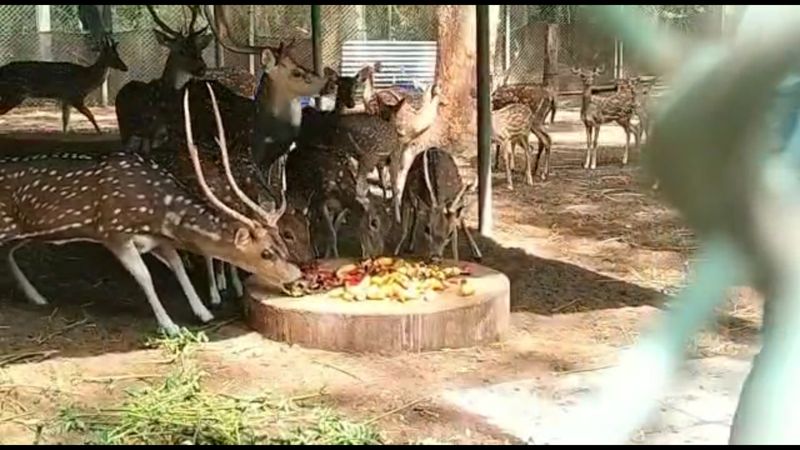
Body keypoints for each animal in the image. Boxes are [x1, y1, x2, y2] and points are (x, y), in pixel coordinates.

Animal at [115, 3, 211, 155]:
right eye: (181, 51)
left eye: (199, 49)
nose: (202, 68)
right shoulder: (149, 131)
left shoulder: (164, 133)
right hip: (124, 128)